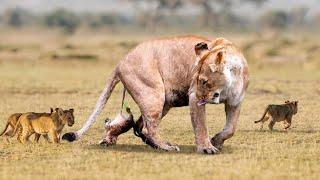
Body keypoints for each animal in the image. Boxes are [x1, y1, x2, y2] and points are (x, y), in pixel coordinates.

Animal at [62, 35, 248, 154]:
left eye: (203, 81)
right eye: (195, 79)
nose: (202, 96)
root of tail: (120, 61)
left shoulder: (235, 102)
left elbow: (231, 128)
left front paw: (216, 140)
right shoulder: (194, 97)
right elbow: (201, 125)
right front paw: (207, 147)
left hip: (163, 101)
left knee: (137, 126)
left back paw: (112, 140)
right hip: (154, 94)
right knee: (147, 127)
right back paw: (166, 147)